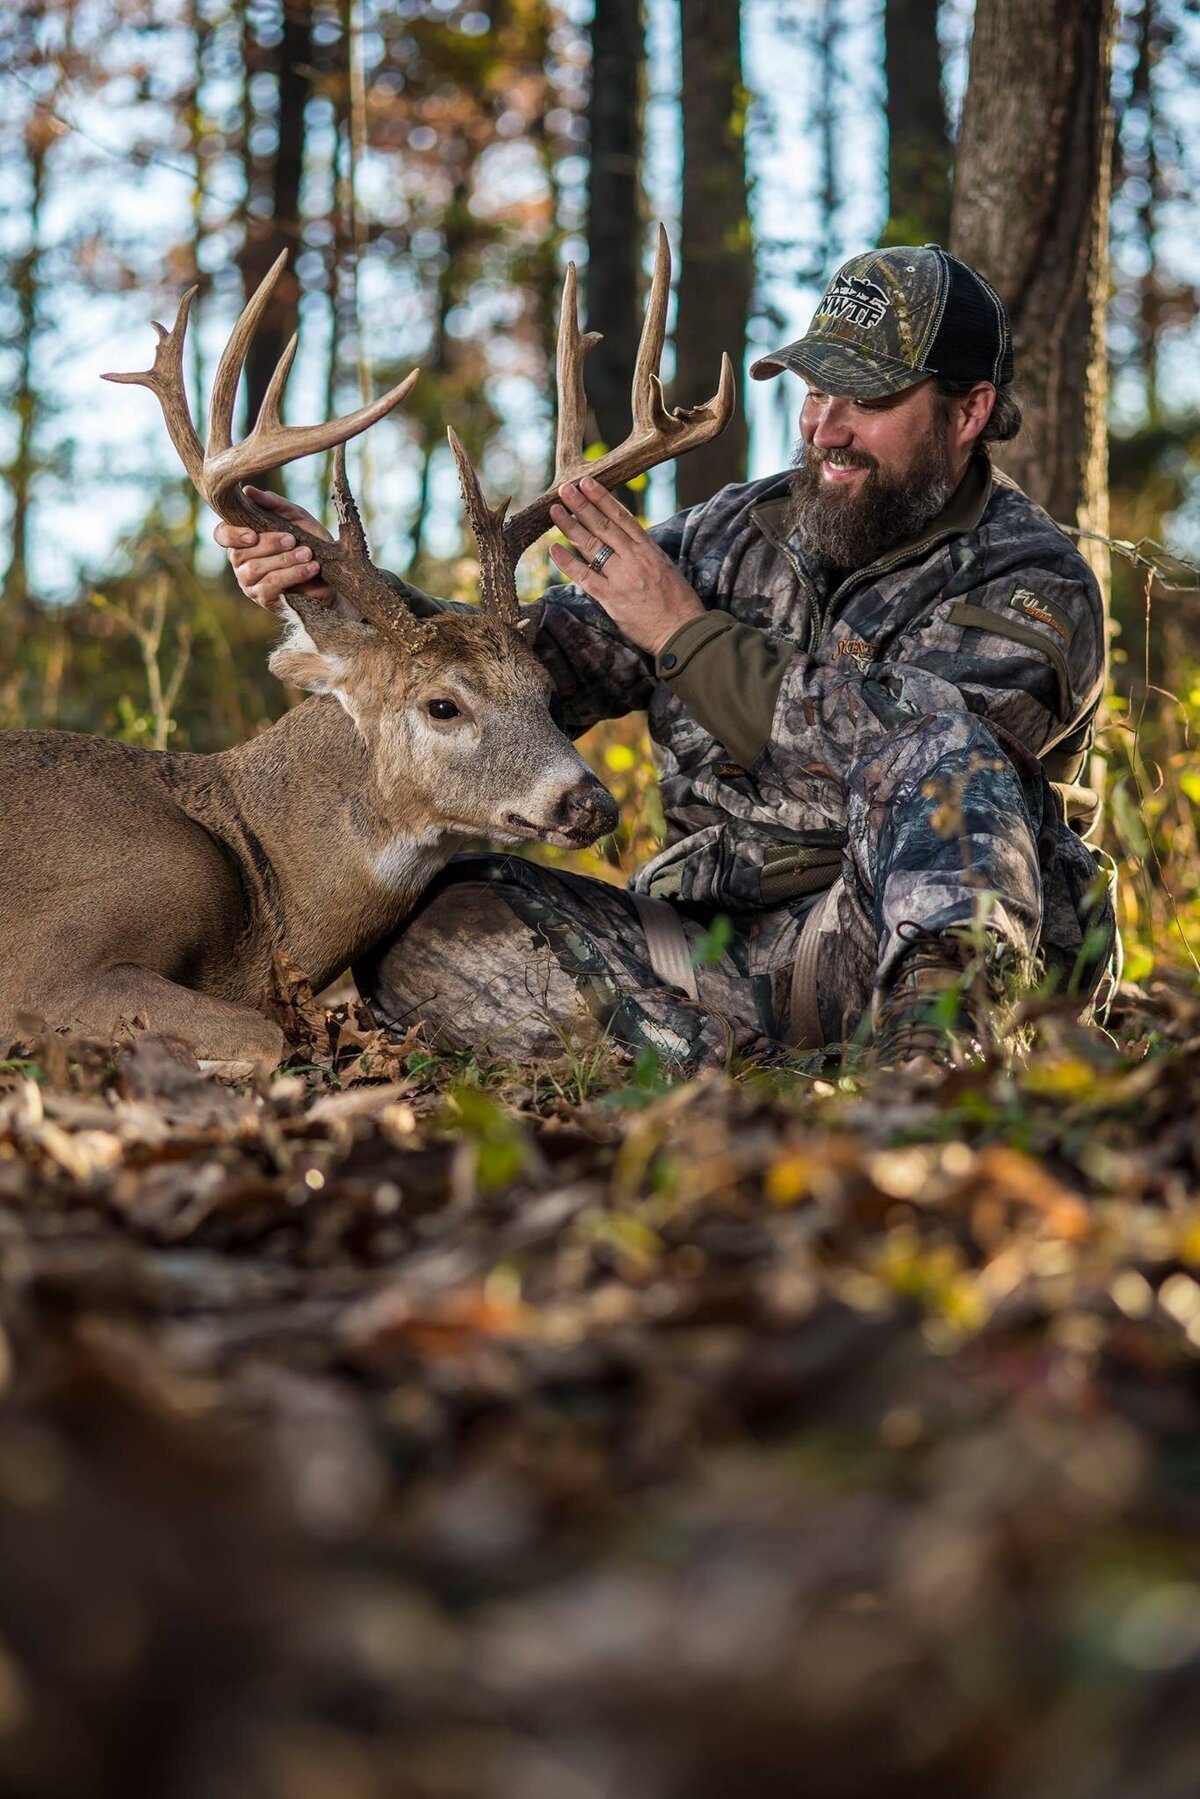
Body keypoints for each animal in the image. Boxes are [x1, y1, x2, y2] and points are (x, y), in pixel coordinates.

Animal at [0, 230, 734, 1057]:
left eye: (548, 693)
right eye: (443, 705)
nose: (590, 803)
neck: (256, 876)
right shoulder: (46, 960)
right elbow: (263, 1036)